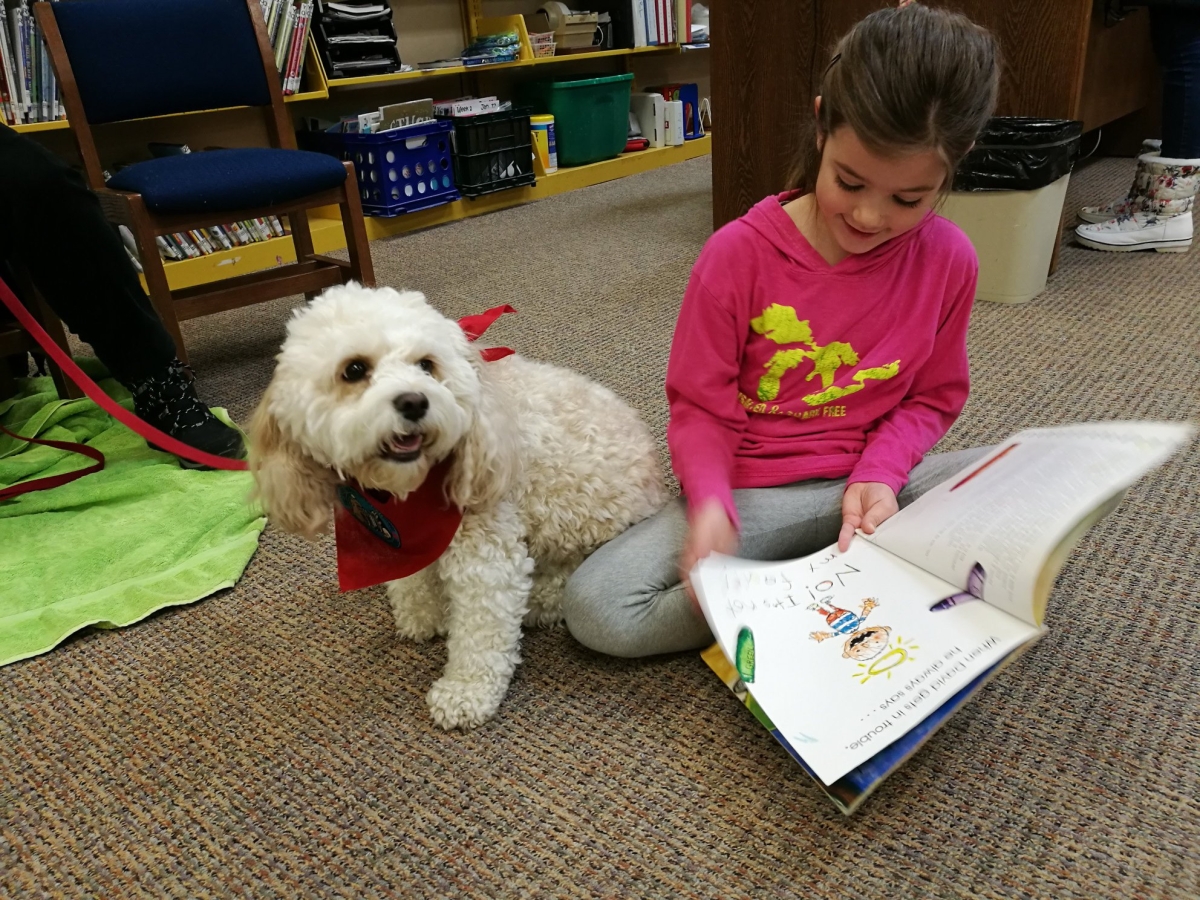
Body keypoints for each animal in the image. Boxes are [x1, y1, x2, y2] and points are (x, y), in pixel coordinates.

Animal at [249, 285, 672, 729]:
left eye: (426, 364)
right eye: (354, 369)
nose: (414, 401)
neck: (407, 494)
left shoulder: (485, 553)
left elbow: (480, 632)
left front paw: (466, 692)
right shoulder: (403, 541)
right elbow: (414, 579)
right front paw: (423, 614)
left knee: (563, 579)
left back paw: (540, 600)